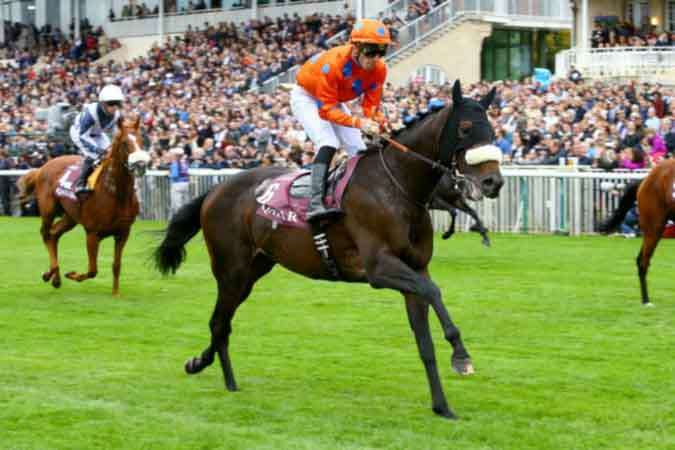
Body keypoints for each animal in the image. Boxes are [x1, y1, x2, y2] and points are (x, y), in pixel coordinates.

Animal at [17, 116, 149, 296]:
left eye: (141, 140)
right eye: (124, 143)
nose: (141, 165)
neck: (116, 193)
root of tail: (43, 166)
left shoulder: (123, 233)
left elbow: (116, 265)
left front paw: (115, 293)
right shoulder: (92, 233)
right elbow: (93, 270)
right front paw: (72, 274)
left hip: (70, 217)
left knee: (54, 234)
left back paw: (56, 278)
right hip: (48, 210)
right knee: (45, 234)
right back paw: (50, 273)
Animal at [153, 80, 503, 419]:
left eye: (492, 129)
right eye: (465, 127)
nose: (493, 182)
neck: (397, 187)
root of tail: (216, 189)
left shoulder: (414, 270)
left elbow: (425, 341)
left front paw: (442, 406)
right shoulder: (380, 269)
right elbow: (434, 292)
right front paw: (461, 356)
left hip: (254, 270)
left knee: (221, 323)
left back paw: (199, 363)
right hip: (231, 270)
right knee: (219, 323)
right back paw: (226, 380)